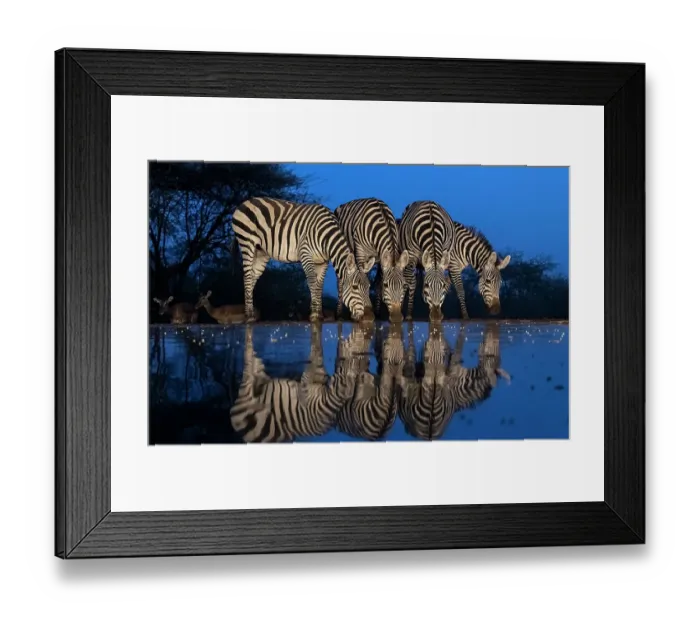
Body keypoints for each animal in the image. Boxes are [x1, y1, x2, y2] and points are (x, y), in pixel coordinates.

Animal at [232, 197, 373, 323]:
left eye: (369, 287)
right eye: (355, 287)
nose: (369, 317)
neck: (326, 237)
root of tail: (244, 202)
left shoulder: (323, 261)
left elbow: (319, 285)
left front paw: (319, 314)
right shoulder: (306, 254)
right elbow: (312, 282)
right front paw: (314, 314)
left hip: (261, 253)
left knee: (252, 277)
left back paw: (251, 313)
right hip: (247, 243)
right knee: (247, 277)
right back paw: (249, 316)